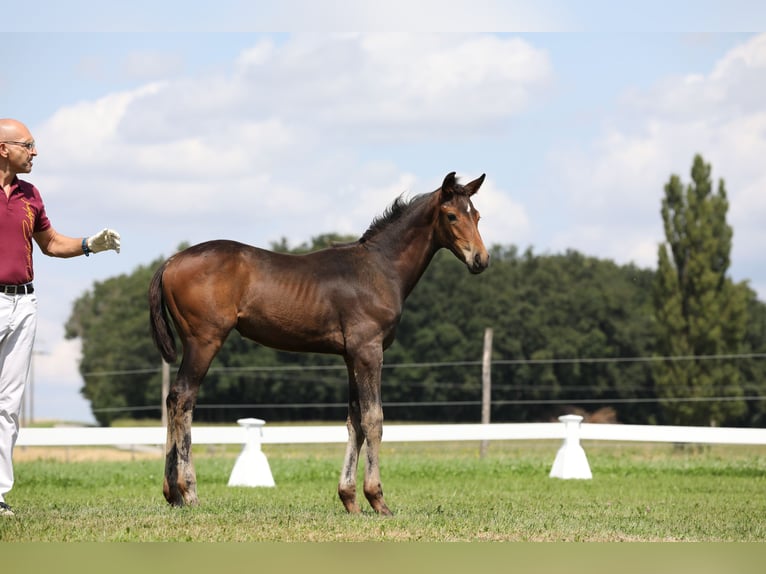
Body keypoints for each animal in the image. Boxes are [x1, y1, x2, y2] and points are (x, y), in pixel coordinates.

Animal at [148, 171, 490, 515]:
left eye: (477, 215)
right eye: (451, 215)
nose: (481, 259)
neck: (380, 269)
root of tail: (171, 260)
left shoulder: (351, 355)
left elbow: (355, 420)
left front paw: (350, 499)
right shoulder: (369, 351)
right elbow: (373, 419)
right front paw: (377, 499)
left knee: (172, 399)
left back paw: (171, 493)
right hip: (204, 341)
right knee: (183, 399)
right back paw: (189, 492)